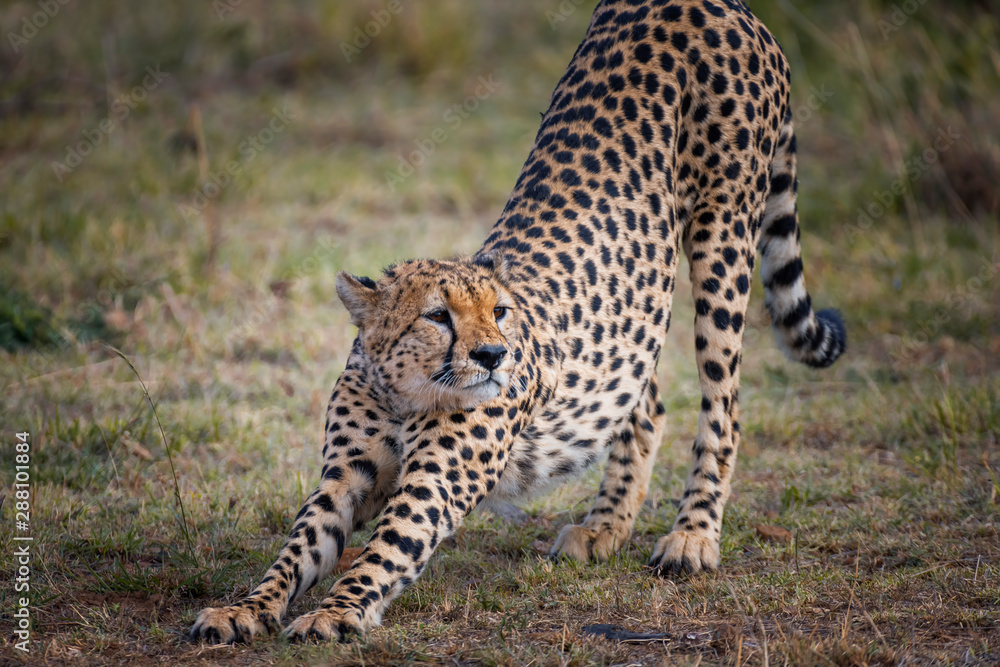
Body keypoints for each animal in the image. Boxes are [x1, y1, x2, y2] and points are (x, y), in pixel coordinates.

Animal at [190, 0, 845, 644]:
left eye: (499, 312)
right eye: (438, 316)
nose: (492, 356)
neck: (405, 391)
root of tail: (718, 5)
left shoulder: (436, 480)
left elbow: (386, 547)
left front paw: (335, 612)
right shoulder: (347, 474)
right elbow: (298, 546)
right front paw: (243, 609)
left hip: (723, 235)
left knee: (723, 402)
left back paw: (693, 537)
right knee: (647, 397)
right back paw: (604, 525)